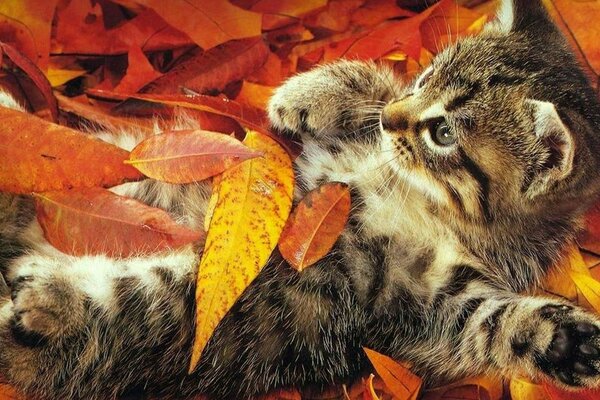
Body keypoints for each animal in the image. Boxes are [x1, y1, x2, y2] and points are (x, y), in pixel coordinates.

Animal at [1, 0, 600, 398]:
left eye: (444, 133)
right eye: (424, 78)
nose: (391, 121)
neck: (419, 200)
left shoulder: (424, 302)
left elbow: (491, 324)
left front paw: (567, 340)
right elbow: (372, 85)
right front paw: (313, 93)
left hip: (188, 303)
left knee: (113, 309)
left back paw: (46, 297)